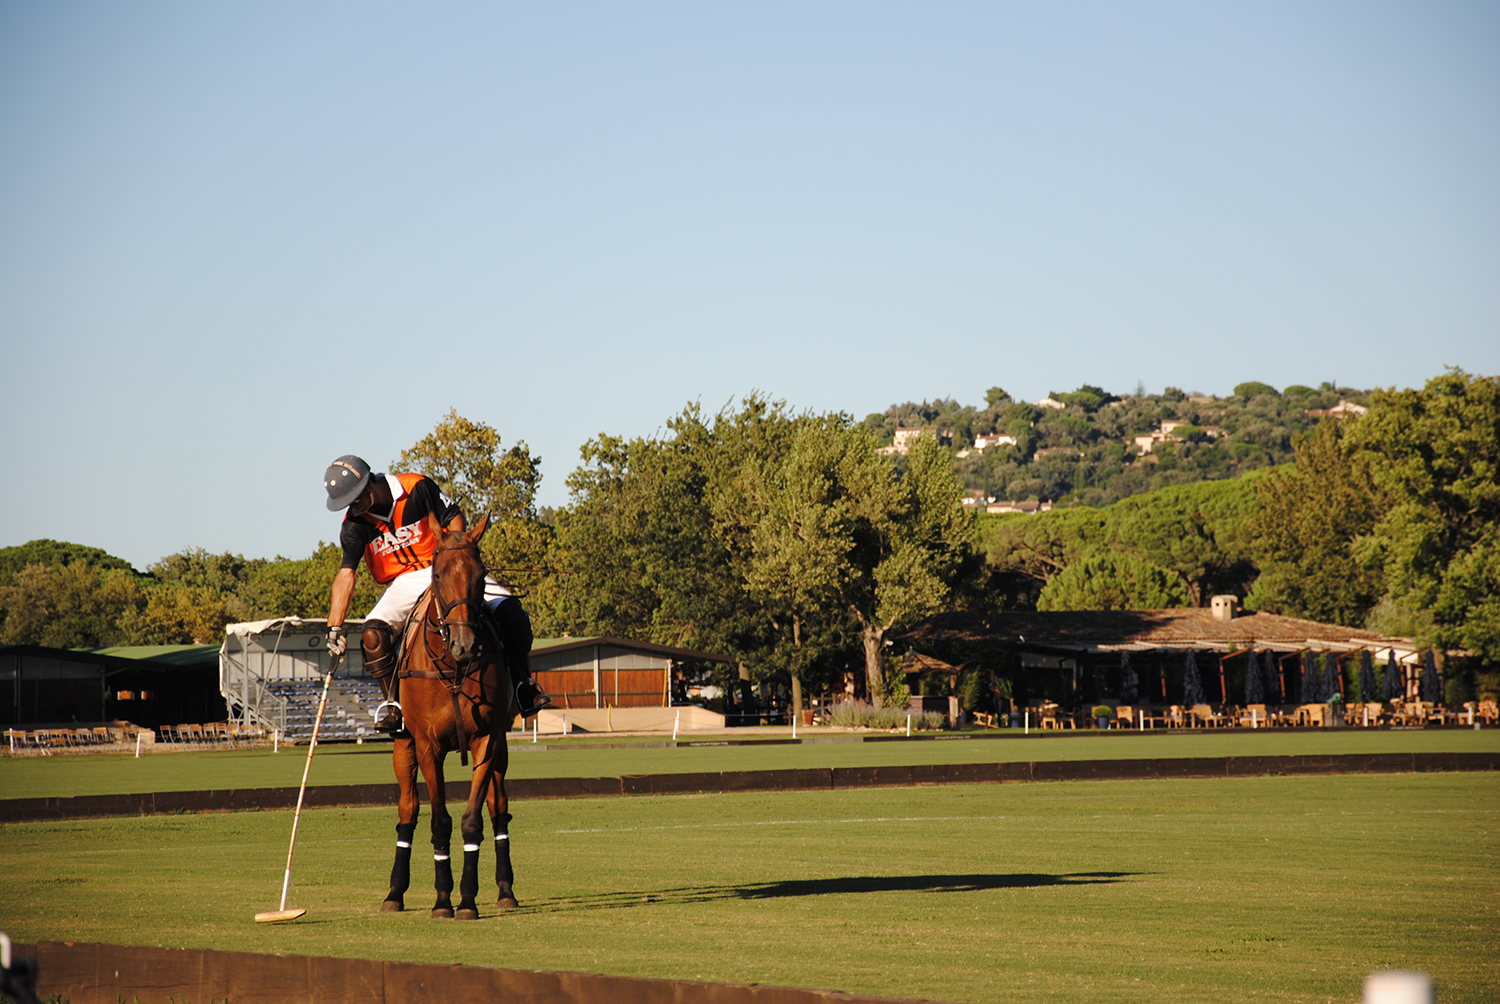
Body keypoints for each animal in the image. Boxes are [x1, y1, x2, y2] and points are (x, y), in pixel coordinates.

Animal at [381, 516, 522, 918]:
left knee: (498, 806)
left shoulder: (487, 740)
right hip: (404, 745)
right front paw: (443, 900)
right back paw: (394, 893)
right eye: (439, 573)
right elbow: (439, 821)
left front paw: (468, 900)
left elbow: (472, 819)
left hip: (501, 749)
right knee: (408, 810)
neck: (453, 667)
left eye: (482, 573)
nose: (466, 646)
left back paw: (506, 890)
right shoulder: (428, 745)